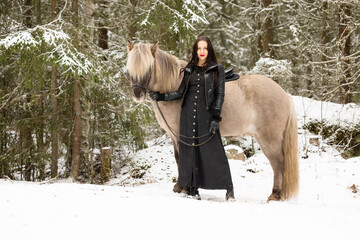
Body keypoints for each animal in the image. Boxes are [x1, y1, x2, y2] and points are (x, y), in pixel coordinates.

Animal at [125, 41, 300, 201]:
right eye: (130, 67)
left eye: (149, 67)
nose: (137, 94)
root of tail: (284, 94)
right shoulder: (174, 136)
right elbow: (177, 157)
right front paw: (179, 187)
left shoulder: (181, 135)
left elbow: (182, 158)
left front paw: (185, 188)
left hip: (269, 138)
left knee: (278, 163)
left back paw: (275, 195)